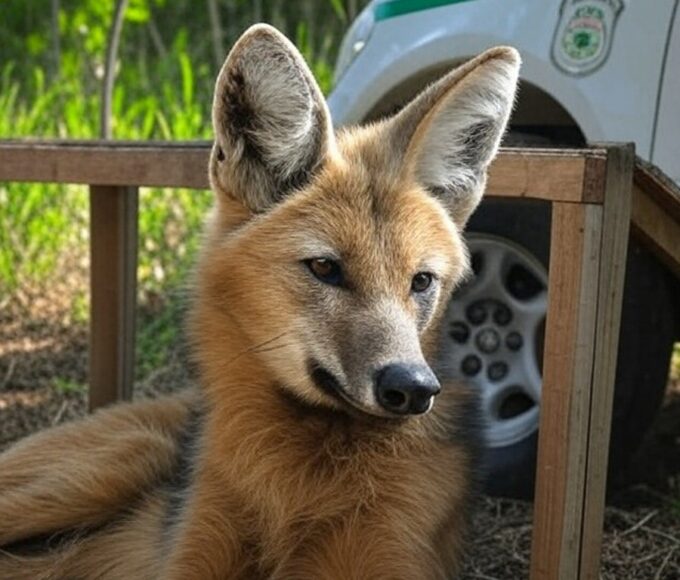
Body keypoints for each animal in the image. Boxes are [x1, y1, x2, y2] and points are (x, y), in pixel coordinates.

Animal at [0, 25, 519, 579]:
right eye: (325, 268)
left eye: (421, 281)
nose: (413, 387)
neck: (298, 486)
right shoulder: (193, 558)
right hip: (109, 465)